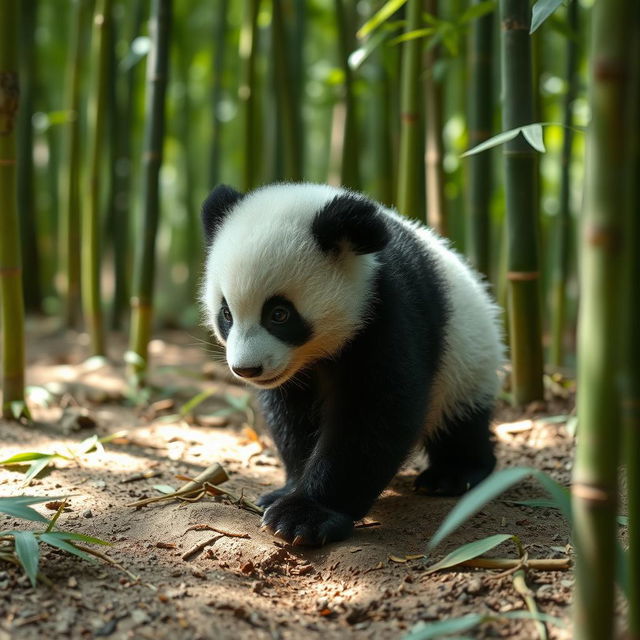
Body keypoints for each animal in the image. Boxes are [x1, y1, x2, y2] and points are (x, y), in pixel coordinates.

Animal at [200, 182, 504, 548]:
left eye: (279, 314)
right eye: (226, 314)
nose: (247, 369)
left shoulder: (384, 310)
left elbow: (375, 414)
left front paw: (303, 516)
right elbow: (293, 418)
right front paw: (286, 491)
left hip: (467, 359)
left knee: (461, 422)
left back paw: (453, 474)